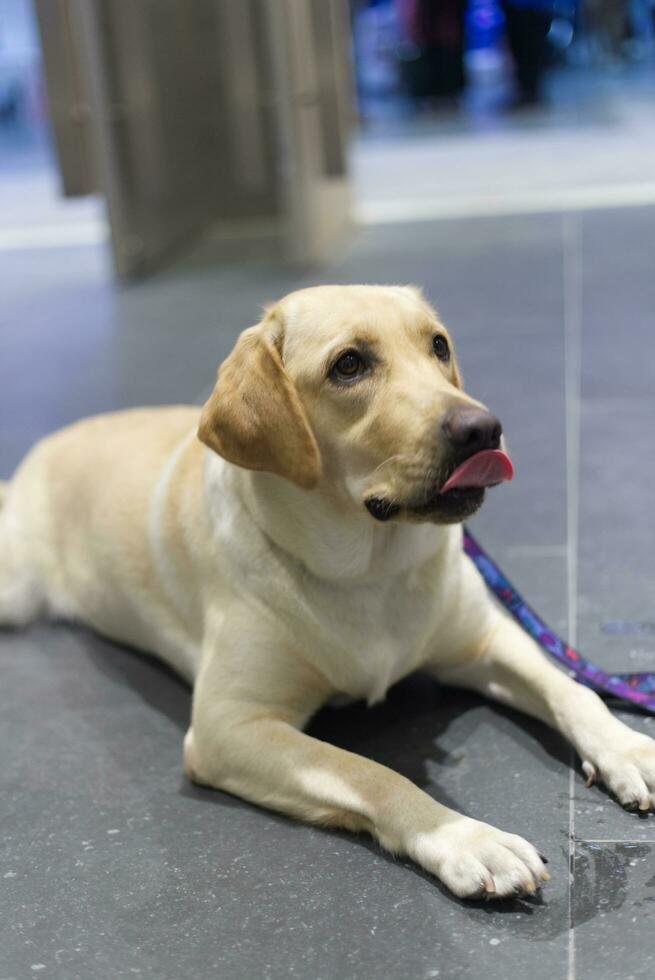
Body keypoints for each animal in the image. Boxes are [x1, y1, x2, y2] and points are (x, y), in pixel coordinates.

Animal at [1, 282, 655, 896]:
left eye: (438, 346)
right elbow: (373, 773)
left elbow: (572, 689)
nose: (483, 429)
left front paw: (629, 749)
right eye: (348, 365)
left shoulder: (485, 640)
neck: (367, 572)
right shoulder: (228, 726)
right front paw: (467, 838)